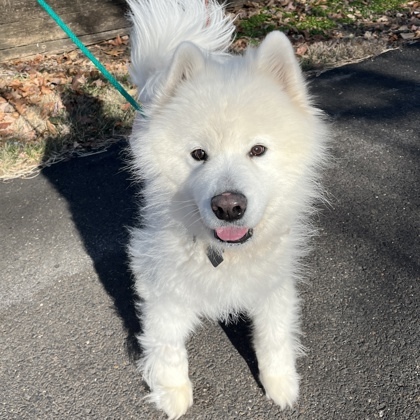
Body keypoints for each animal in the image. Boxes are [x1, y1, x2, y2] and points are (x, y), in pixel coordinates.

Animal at [127, 0, 328, 416]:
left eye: (258, 150)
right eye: (198, 154)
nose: (229, 207)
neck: (228, 252)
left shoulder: (274, 285)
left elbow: (274, 338)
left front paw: (281, 384)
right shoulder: (163, 287)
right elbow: (167, 346)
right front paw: (172, 393)